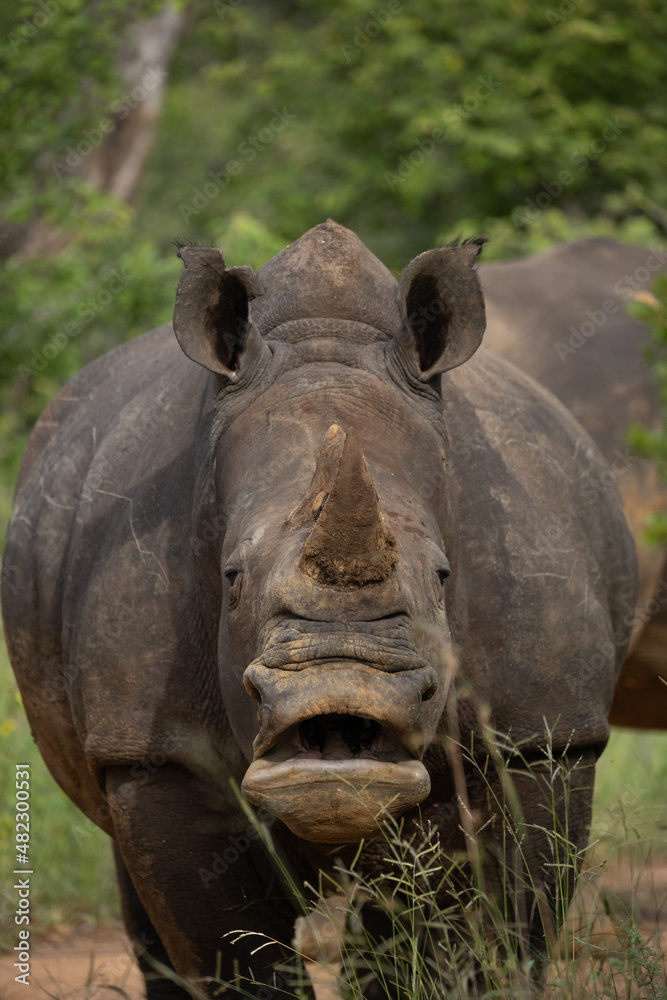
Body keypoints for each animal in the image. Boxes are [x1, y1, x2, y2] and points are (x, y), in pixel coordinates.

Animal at [2, 221, 637, 997]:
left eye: (442, 576)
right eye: (232, 577)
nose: (340, 695)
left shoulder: (544, 736)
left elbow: (496, 937)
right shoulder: (155, 751)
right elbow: (230, 956)